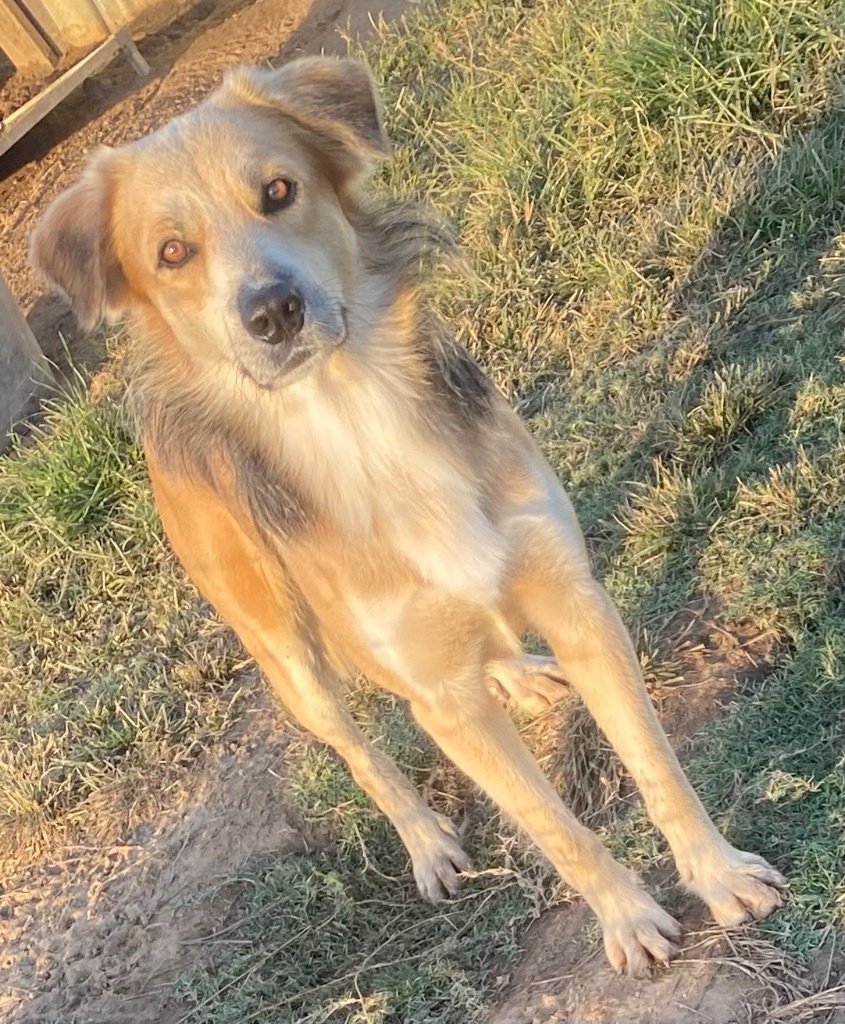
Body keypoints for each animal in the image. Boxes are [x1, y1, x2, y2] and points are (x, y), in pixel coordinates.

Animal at [31, 56, 786, 974]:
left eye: (278, 190)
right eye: (172, 253)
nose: (271, 311)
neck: (359, 419)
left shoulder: (574, 599)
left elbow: (654, 763)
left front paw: (716, 873)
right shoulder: (437, 698)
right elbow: (553, 829)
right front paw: (627, 919)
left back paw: (517, 673)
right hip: (286, 659)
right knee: (360, 751)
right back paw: (426, 837)